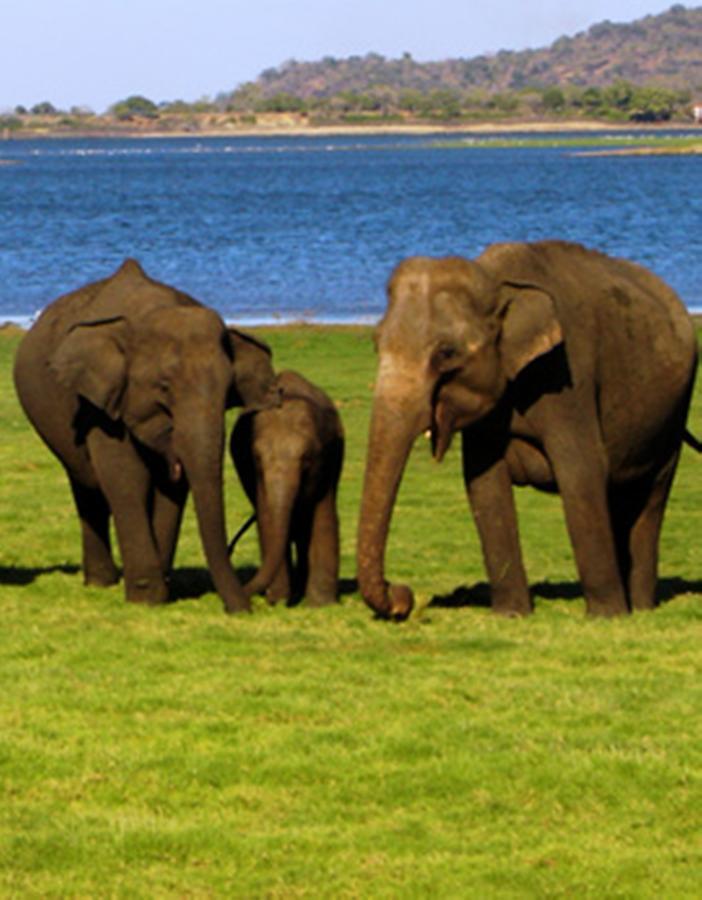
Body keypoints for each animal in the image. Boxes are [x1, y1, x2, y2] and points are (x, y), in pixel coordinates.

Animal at [13, 256, 278, 616]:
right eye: (163, 387)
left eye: (228, 392)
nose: (243, 610)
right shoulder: (100, 405)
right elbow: (126, 478)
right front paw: (146, 598)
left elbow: (171, 490)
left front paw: (161, 592)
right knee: (86, 485)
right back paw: (101, 583)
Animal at [230, 370, 346, 608]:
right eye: (257, 459)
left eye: (307, 459)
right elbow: (267, 519)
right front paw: (278, 600)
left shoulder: (330, 459)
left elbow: (324, 517)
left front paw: (321, 604)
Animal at [360, 239, 700, 620]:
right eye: (376, 342)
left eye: (446, 353)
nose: (402, 597)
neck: (495, 279)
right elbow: (483, 482)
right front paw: (510, 614)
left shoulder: (567, 377)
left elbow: (581, 472)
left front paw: (606, 616)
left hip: (674, 410)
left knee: (652, 494)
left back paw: (639, 607)